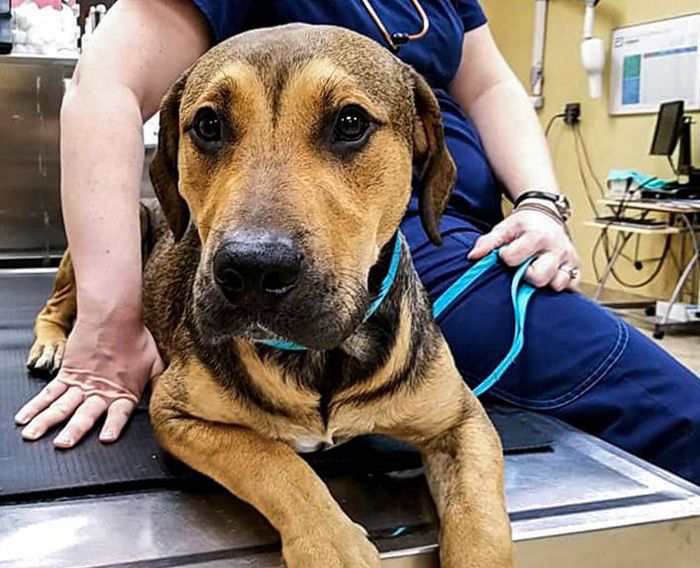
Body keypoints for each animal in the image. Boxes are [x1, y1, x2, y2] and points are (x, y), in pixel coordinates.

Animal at [28, 24, 516, 564]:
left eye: (350, 122)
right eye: (208, 124)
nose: (252, 269)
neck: (323, 358)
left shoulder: (464, 422)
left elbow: (482, 523)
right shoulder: (177, 414)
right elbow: (276, 462)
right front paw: (332, 544)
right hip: (125, 225)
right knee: (55, 305)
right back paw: (51, 343)